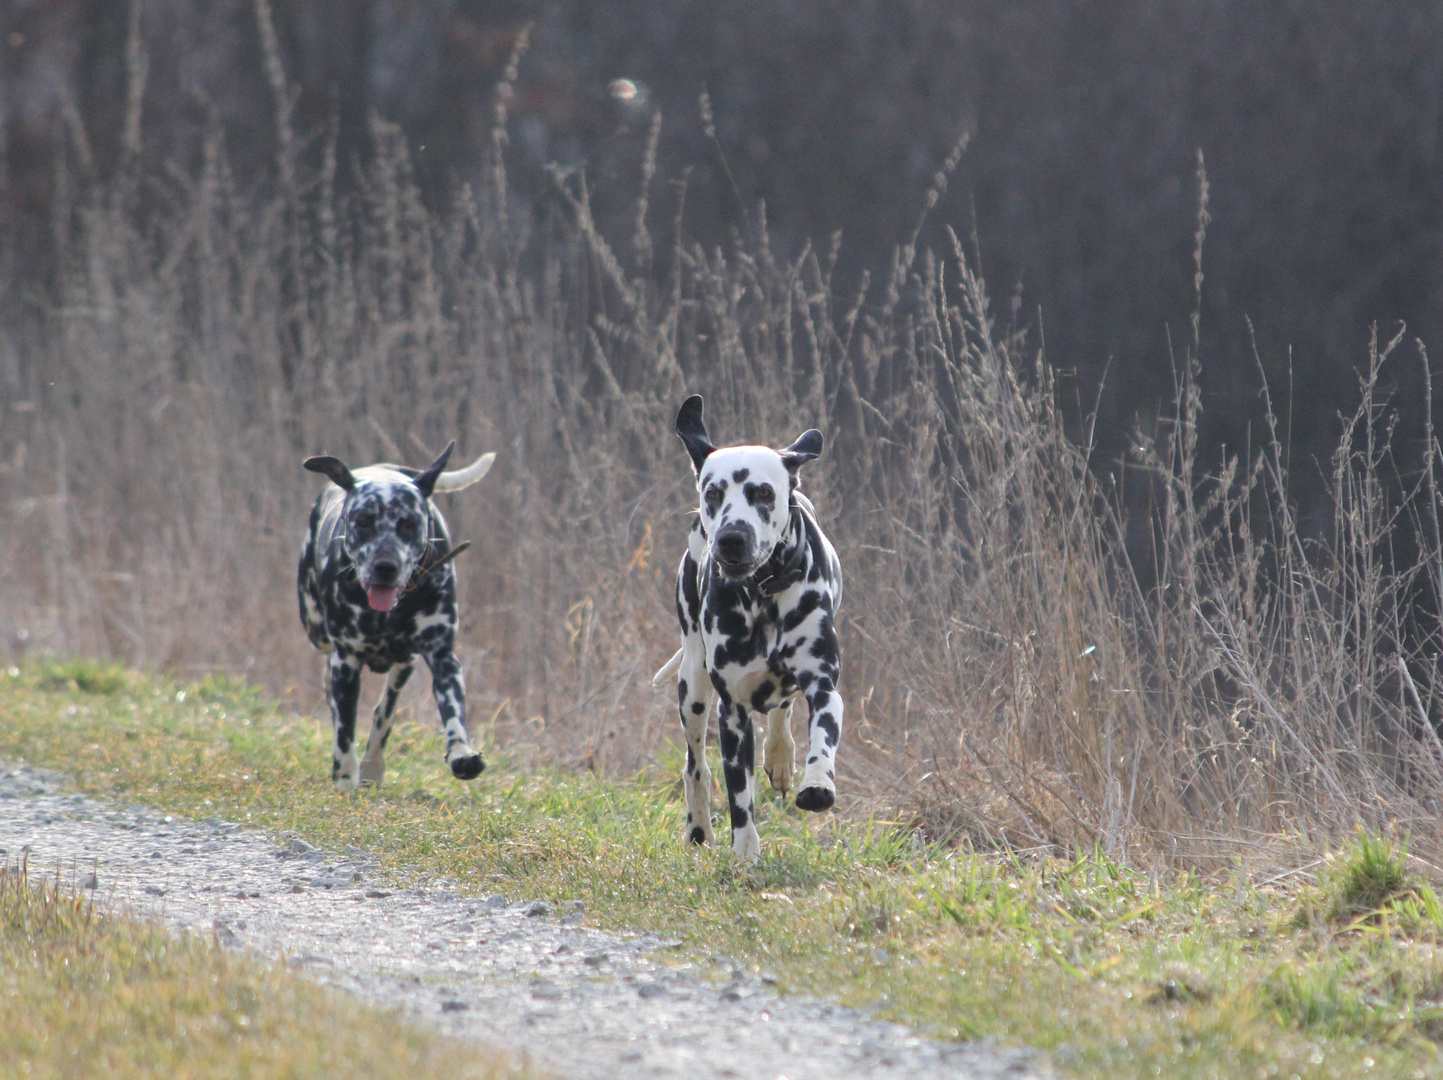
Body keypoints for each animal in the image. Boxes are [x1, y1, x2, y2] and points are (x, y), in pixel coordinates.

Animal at [298, 441, 496, 791]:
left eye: (410, 524)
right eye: (363, 520)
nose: (385, 566)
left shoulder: (442, 656)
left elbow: (452, 712)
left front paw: (461, 754)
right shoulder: (345, 661)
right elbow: (344, 728)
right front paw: (344, 777)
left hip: (405, 662)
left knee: (386, 708)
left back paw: (373, 765)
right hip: (317, 633)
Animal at [655, 395, 842, 860]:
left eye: (763, 492)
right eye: (713, 493)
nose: (731, 538)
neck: (763, 595)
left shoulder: (823, 685)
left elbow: (821, 739)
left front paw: (816, 784)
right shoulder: (732, 712)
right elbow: (739, 794)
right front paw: (744, 852)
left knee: (782, 708)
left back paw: (780, 755)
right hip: (693, 687)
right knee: (695, 766)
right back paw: (698, 828)